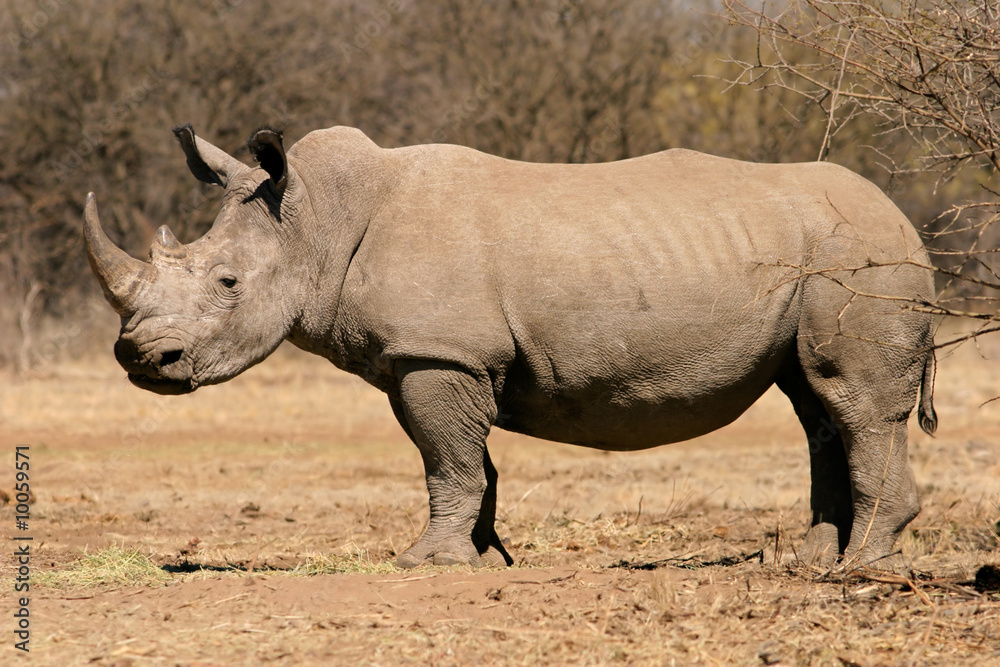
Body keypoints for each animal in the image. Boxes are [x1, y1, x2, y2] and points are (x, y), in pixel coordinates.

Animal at [84, 124, 937, 569]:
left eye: (227, 281)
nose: (141, 361)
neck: (317, 220)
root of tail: (908, 220)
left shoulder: (436, 353)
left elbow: (447, 460)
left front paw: (427, 563)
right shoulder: (438, 356)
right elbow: (472, 463)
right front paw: (487, 558)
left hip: (861, 255)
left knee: (855, 404)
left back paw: (864, 565)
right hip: (827, 256)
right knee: (814, 402)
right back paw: (811, 560)